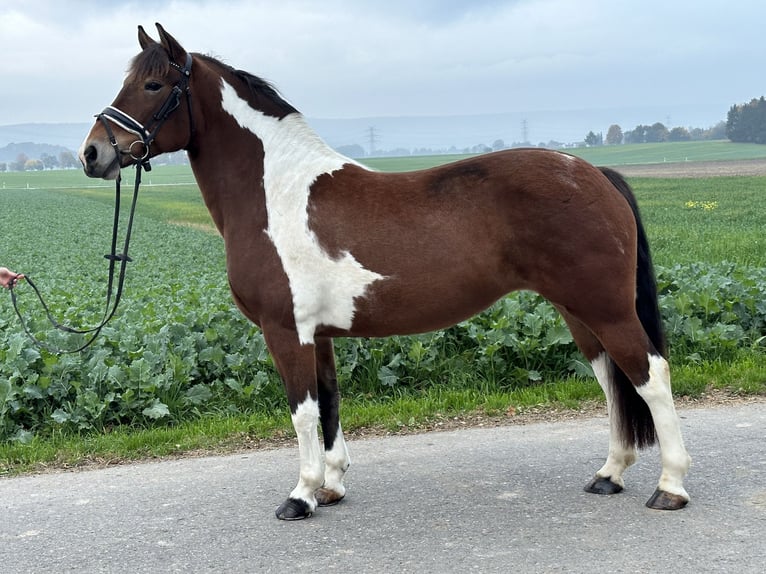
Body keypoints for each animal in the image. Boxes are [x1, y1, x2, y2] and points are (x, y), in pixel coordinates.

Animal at [81, 23, 692, 520]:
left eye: (153, 85)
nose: (93, 154)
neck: (275, 191)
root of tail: (592, 173)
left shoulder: (285, 331)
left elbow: (302, 411)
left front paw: (300, 496)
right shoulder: (318, 335)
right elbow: (328, 403)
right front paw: (330, 487)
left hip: (604, 307)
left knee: (651, 376)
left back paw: (670, 487)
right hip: (578, 312)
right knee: (614, 380)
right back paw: (609, 475)